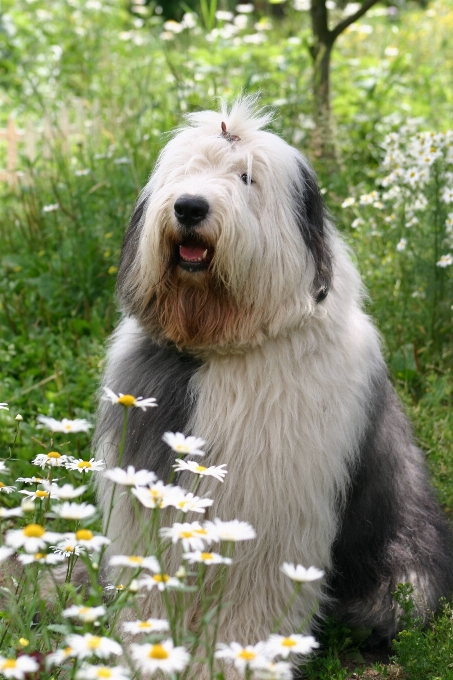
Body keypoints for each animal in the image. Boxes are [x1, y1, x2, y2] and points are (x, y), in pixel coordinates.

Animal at [93, 95, 452, 652]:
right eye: (186, 170)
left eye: (247, 178)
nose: (189, 207)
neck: (223, 343)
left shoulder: (265, 507)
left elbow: (248, 601)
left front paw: (231, 657)